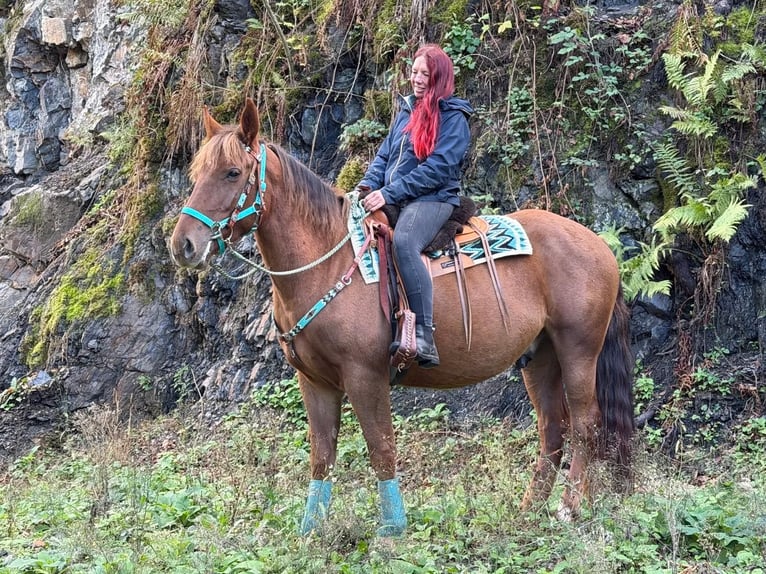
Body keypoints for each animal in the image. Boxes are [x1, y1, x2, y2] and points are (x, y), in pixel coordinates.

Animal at [169, 98, 635, 537]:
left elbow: (381, 448)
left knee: (586, 425)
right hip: (539, 357)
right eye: (196, 173)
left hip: (578, 349)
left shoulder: (365, 375)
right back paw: (529, 511)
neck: (328, 263)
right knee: (552, 429)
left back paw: (570, 508)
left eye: (232, 172)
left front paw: (392, 527)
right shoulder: (314, 381)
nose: (183, 245)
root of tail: (600, 246)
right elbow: (322, 456)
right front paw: (311, 530)